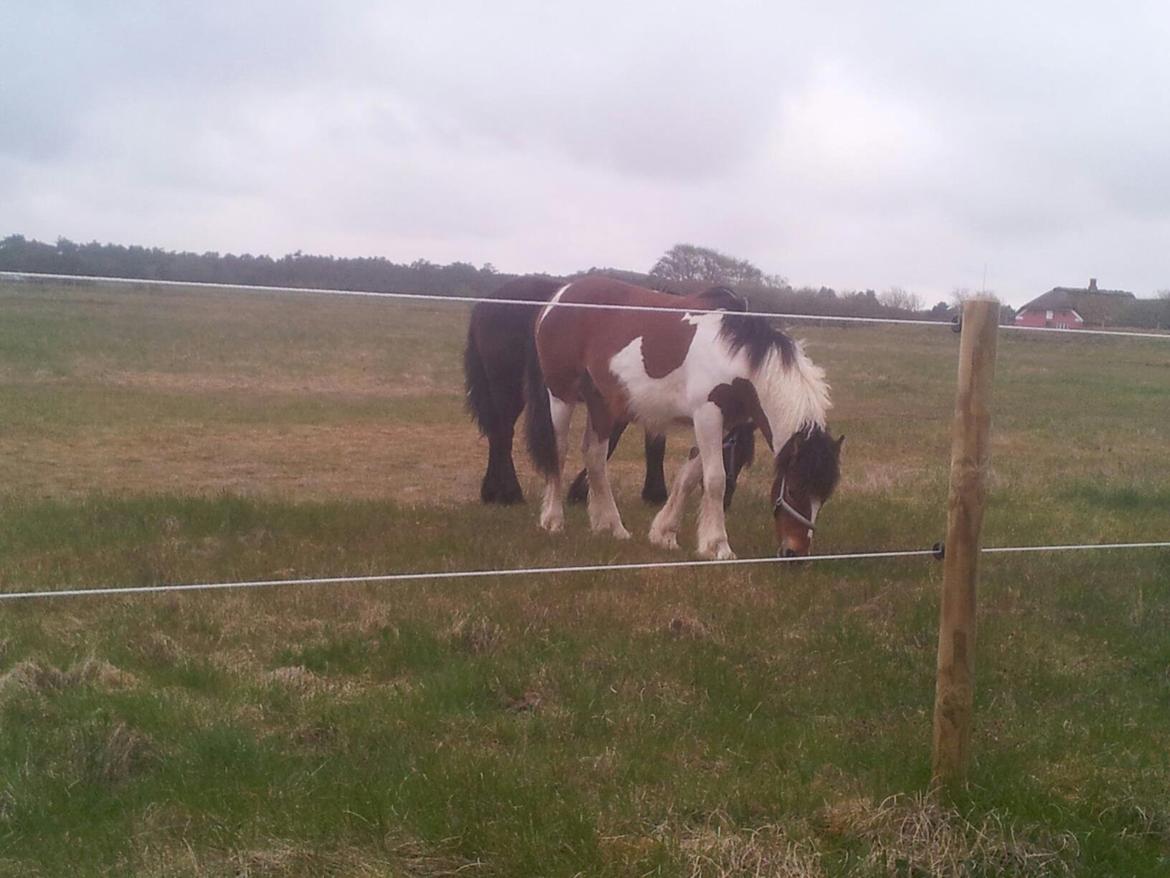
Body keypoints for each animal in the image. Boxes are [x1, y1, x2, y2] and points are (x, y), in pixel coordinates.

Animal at [460, 275, 753, 508]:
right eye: (736, 448)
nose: (727, 500)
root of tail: (485, 304)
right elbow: (612, 441)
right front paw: (581, 491)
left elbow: (653, 444)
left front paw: (652, 492)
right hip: (507, 387)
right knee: (502, 434)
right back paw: (510, 493)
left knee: (497, 434)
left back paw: (492, 492)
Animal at [521, 278, 842, 559]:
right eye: (794, 489)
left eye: (824, 497)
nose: (794, 553)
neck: (734, 354)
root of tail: (558, 296)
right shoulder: (707, 414)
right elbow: (715, 479)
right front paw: (718, 546)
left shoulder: (724, 423)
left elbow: (689, 477)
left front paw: (665, 534)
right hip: (561, 395)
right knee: (559, 452)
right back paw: (553, 521)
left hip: (601, 402)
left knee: (594, 456)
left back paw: (611, 527)